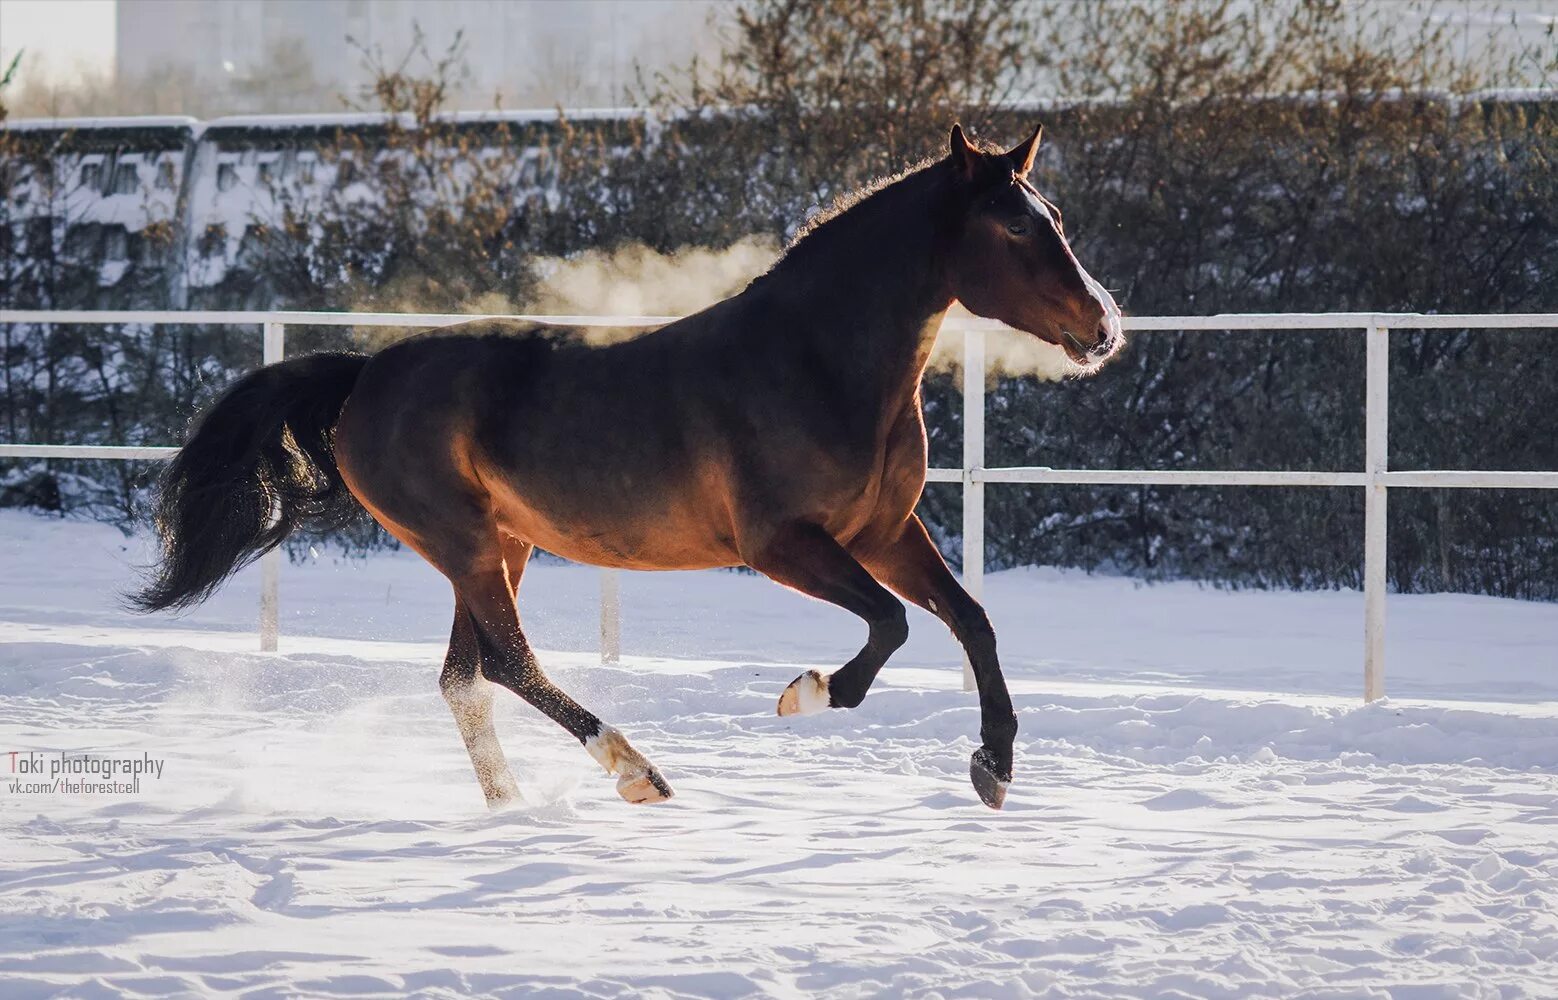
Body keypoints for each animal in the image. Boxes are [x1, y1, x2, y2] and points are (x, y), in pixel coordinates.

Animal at [133, 124, 1121, 809]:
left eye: (1056, 220)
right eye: (1015, 229)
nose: (1105, 326)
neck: (815, 360)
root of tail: (366, 375)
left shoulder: (883, 533)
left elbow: (970, 621)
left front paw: (994, 767)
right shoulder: (779, 545)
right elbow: (892, 626)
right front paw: (805, 695)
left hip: (500, 545)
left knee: (465, 679)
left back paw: (514, 807)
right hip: (463, 542)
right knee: (507, 666)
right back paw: (634, 771)